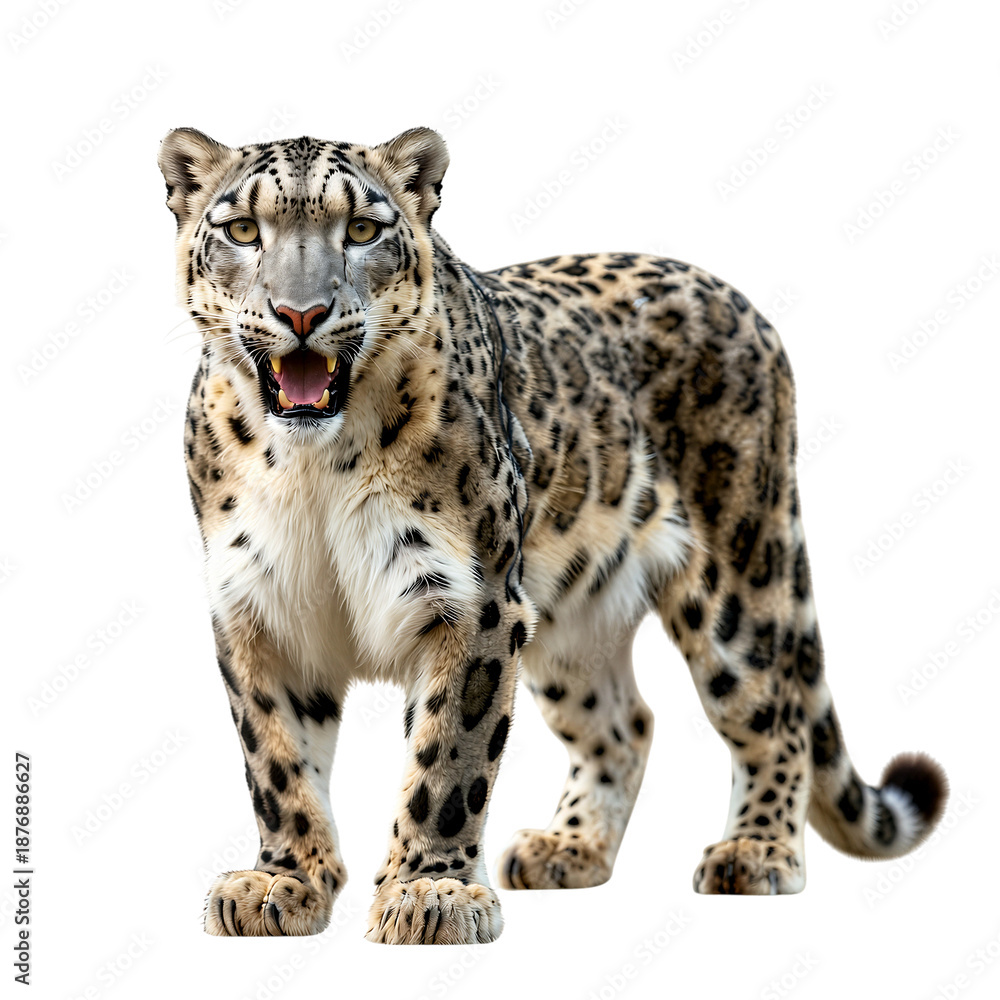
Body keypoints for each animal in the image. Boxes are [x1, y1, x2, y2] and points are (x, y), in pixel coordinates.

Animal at [158, 125, 947, 944]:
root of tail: (742, 304)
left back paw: (754, 851)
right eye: (242, 230)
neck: (312, 470)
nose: (302, 313)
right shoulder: (259, 605)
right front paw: (282, 881)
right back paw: (568, 848)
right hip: (571, 623)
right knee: (623, 722)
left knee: (771, 708)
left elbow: (447, 759)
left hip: (739, 570)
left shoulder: (469, 601)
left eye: (363, 230)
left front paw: (431, 892)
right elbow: (276, 759)